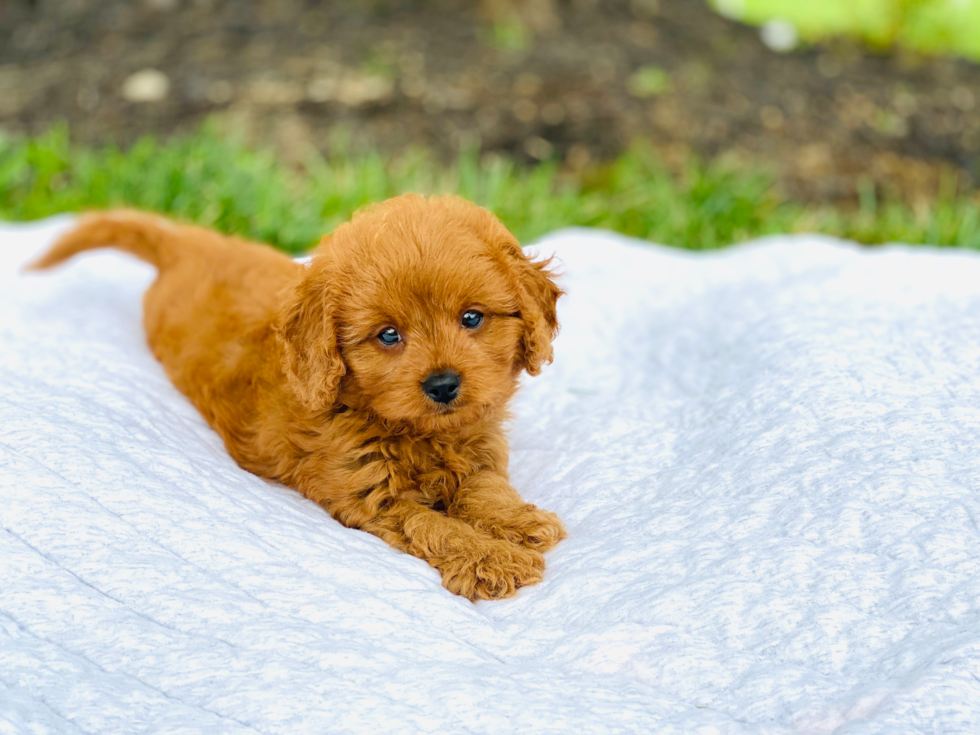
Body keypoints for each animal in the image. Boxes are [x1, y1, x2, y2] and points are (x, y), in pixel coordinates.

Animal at [28, 197, 568, 604]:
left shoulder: (480, 449)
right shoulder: (367, 494)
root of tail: (184, 248)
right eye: (388, 335)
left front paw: (516, 521)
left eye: (472, 318)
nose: (443, 385)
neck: (416, 431)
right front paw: (488, 558)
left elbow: (485, 489)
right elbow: (431, 524)